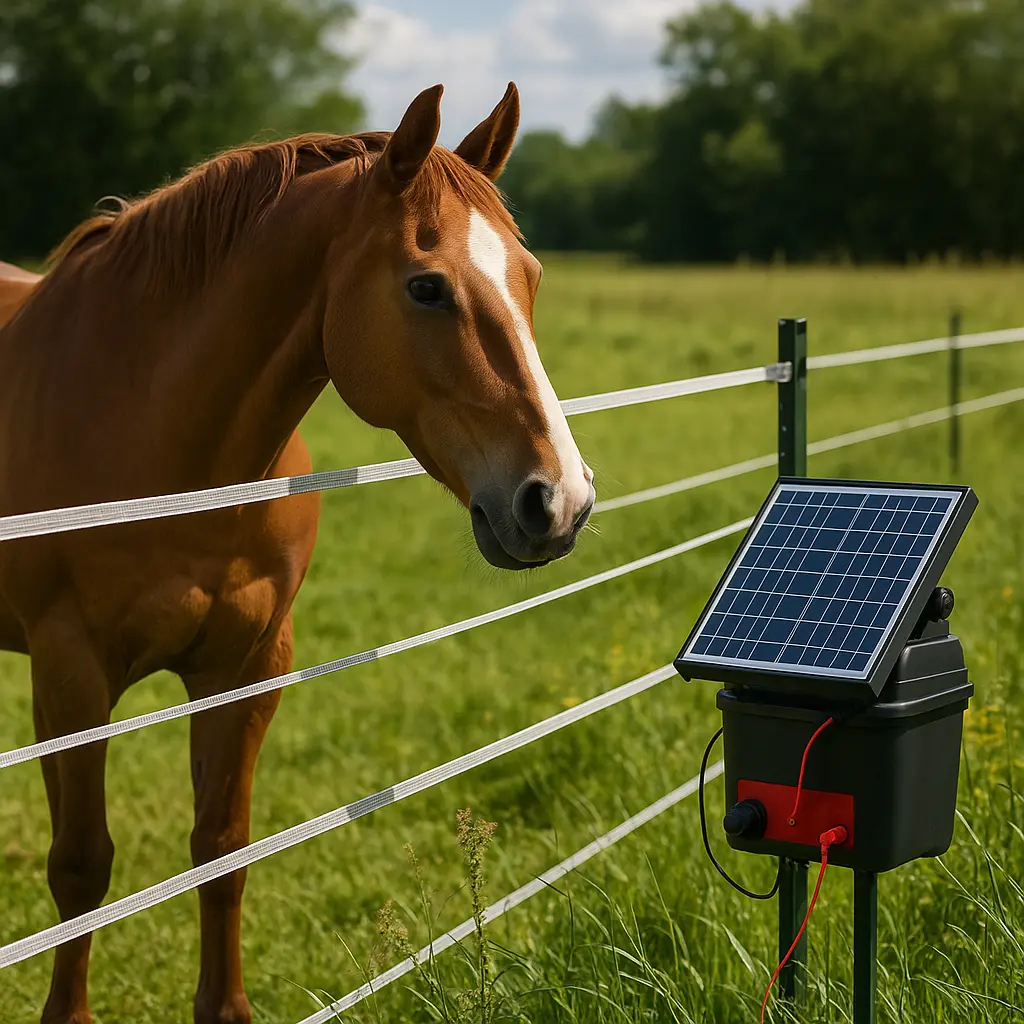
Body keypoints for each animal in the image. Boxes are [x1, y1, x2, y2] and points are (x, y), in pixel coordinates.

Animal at [0, 82, 595, 1024]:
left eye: (529, 276)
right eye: (426, 286)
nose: (559, 500)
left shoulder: (247, 667)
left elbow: (223, 850)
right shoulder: (70, 675)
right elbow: (82, 869)